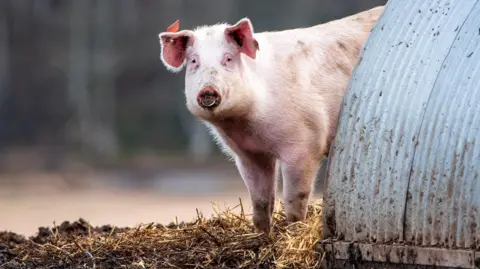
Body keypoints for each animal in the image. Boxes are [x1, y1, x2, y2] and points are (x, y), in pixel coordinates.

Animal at [159, 6, 384, 232]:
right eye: (194, 61)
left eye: (228, 59)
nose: (208, 90)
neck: (246, 125)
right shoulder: (249, 155)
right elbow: (260, 201)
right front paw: (261, 233)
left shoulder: (304, 146)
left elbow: (294, 199)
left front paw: (294, 230)